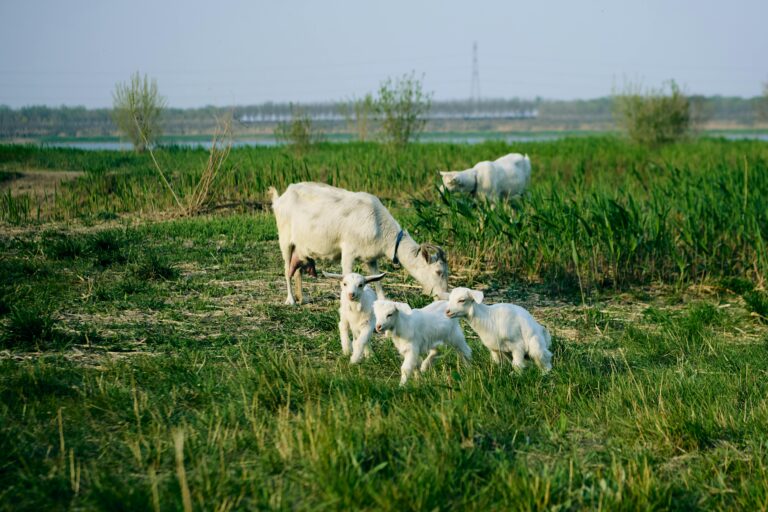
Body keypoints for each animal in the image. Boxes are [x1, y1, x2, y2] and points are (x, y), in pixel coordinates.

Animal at [272, 182, 448, 306]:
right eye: (438, 271)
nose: (444, 296)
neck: (378, 224)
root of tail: (281, 198)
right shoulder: (348, 251)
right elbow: (346, 275)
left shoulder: (371, 257)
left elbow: (378, 279)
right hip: (284, 239)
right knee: (287, 269)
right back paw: (290, 300)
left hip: (300, 246)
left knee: (297, 270)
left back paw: (302, 298)